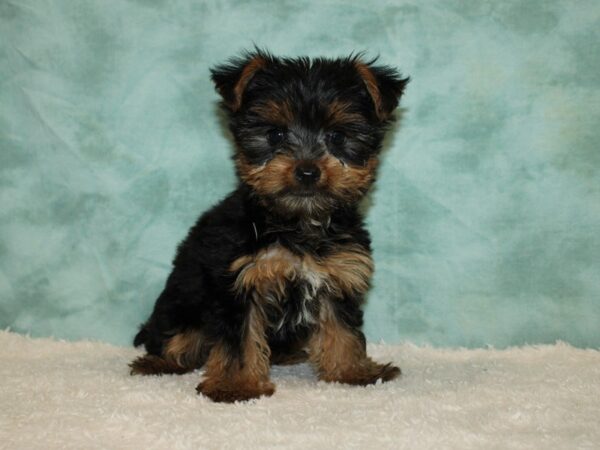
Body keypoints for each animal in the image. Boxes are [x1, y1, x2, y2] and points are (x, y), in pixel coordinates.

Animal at [130, 51, 408, 402]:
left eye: (338, 137)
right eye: (275, 135)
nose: (307, 171)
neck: (298, 223)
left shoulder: (338, 274)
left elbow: (343, 328)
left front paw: (352, 371)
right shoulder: (238, 282)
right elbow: (239, 339)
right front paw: (236, 384)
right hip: (180, 307)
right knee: (174, 339)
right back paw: (158, 361)